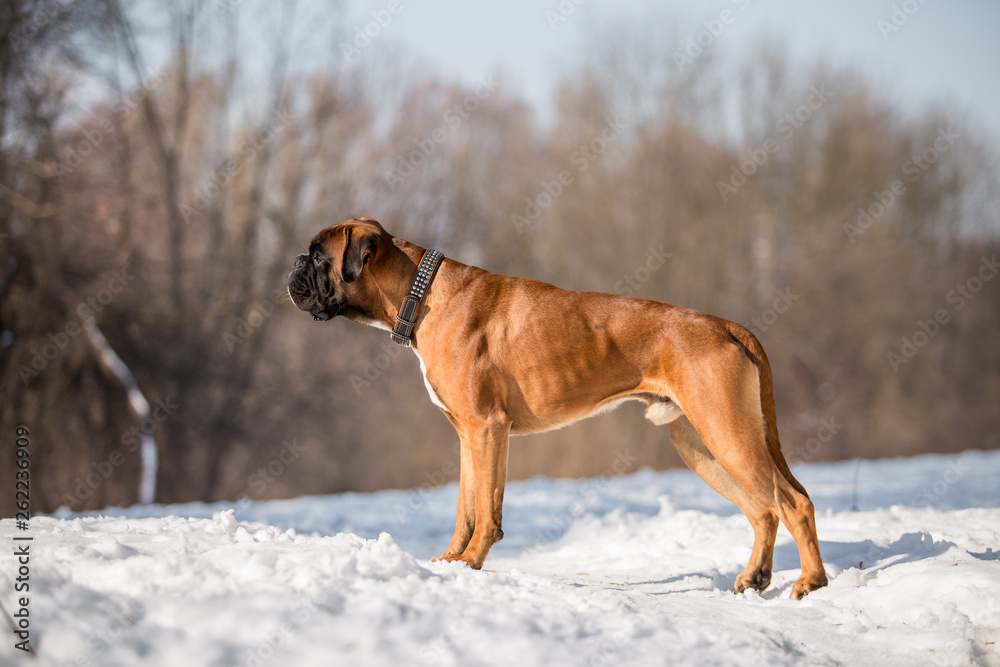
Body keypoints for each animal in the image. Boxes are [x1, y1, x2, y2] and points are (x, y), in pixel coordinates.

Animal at [288, 219, 828, 600]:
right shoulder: (468, 437)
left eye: (317, 256)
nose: (292, 266)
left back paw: (810, 582)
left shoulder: (488, 430)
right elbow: (466, 506)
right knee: (764, 509)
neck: (421, 294)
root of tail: (726, 325)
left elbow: (487, 509)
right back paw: (756, 577)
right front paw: (450, 561)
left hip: (727, 434)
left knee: (793, 503)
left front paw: (472, 561)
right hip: (702, 445)